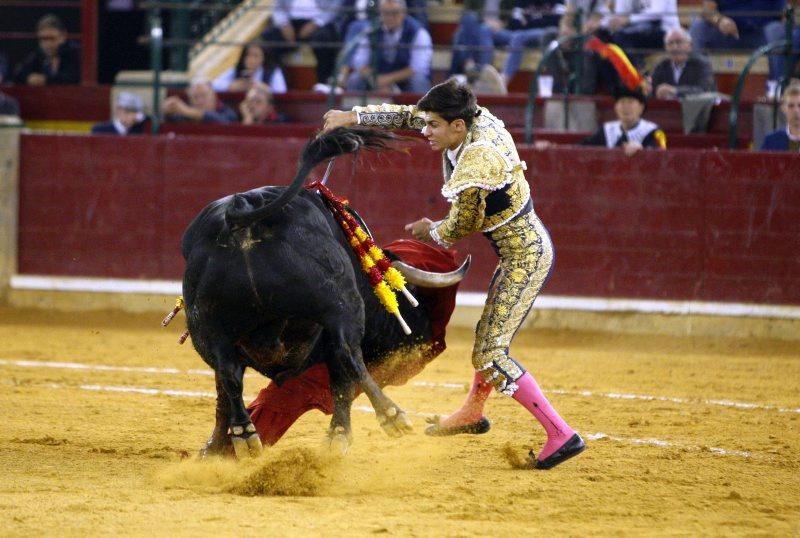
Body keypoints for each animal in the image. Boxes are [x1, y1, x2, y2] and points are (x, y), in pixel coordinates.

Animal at [180, 127, 468, 454]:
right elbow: (341, 377)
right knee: (348, 353)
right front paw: (339, 435)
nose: (422, 349)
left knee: (226, 373)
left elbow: (222, 390)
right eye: (411, 308)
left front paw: (214, 447)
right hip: (340, 304)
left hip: (205, 327)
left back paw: (243, 434)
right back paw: (390, 414)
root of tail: (243, 214)